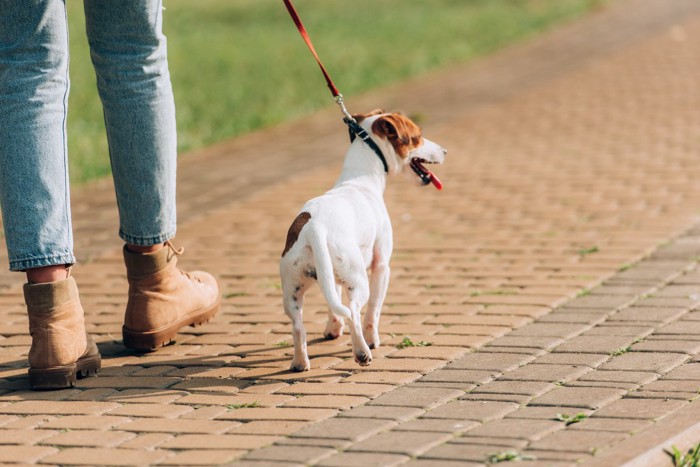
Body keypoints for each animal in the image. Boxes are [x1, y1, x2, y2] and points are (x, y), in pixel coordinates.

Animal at [278, 110, 442, 372]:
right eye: (418, 137)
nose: (444, 151)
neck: (359, 179)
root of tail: (314, 227)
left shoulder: (330, 278)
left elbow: (333, 307)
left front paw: (333, 329)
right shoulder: (382, 267)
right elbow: (373, 311)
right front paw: (373, 339)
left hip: (292, 291)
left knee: (298, 326)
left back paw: (300, 363)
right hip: (358, 281)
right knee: (355, 313)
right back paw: (362, 351)